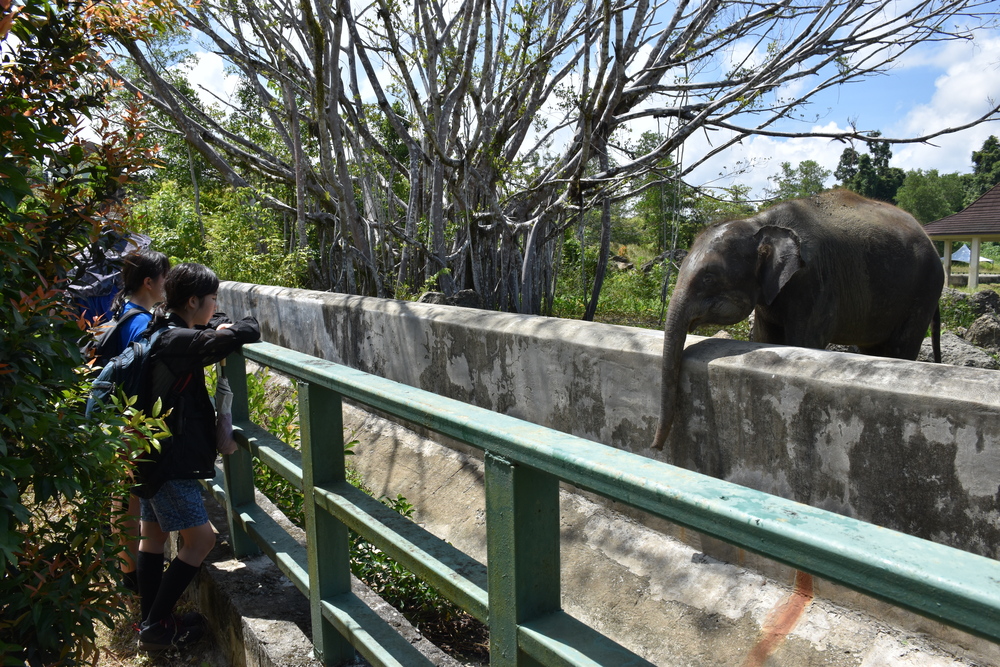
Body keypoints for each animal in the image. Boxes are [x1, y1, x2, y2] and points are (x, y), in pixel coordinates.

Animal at [652, 185, 940, 452]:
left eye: (709, 278)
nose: (655, 447)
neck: (760, 222)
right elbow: (765, 337)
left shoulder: (815, 282)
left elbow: (804, 341)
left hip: (923, 292)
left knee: (901, 346)